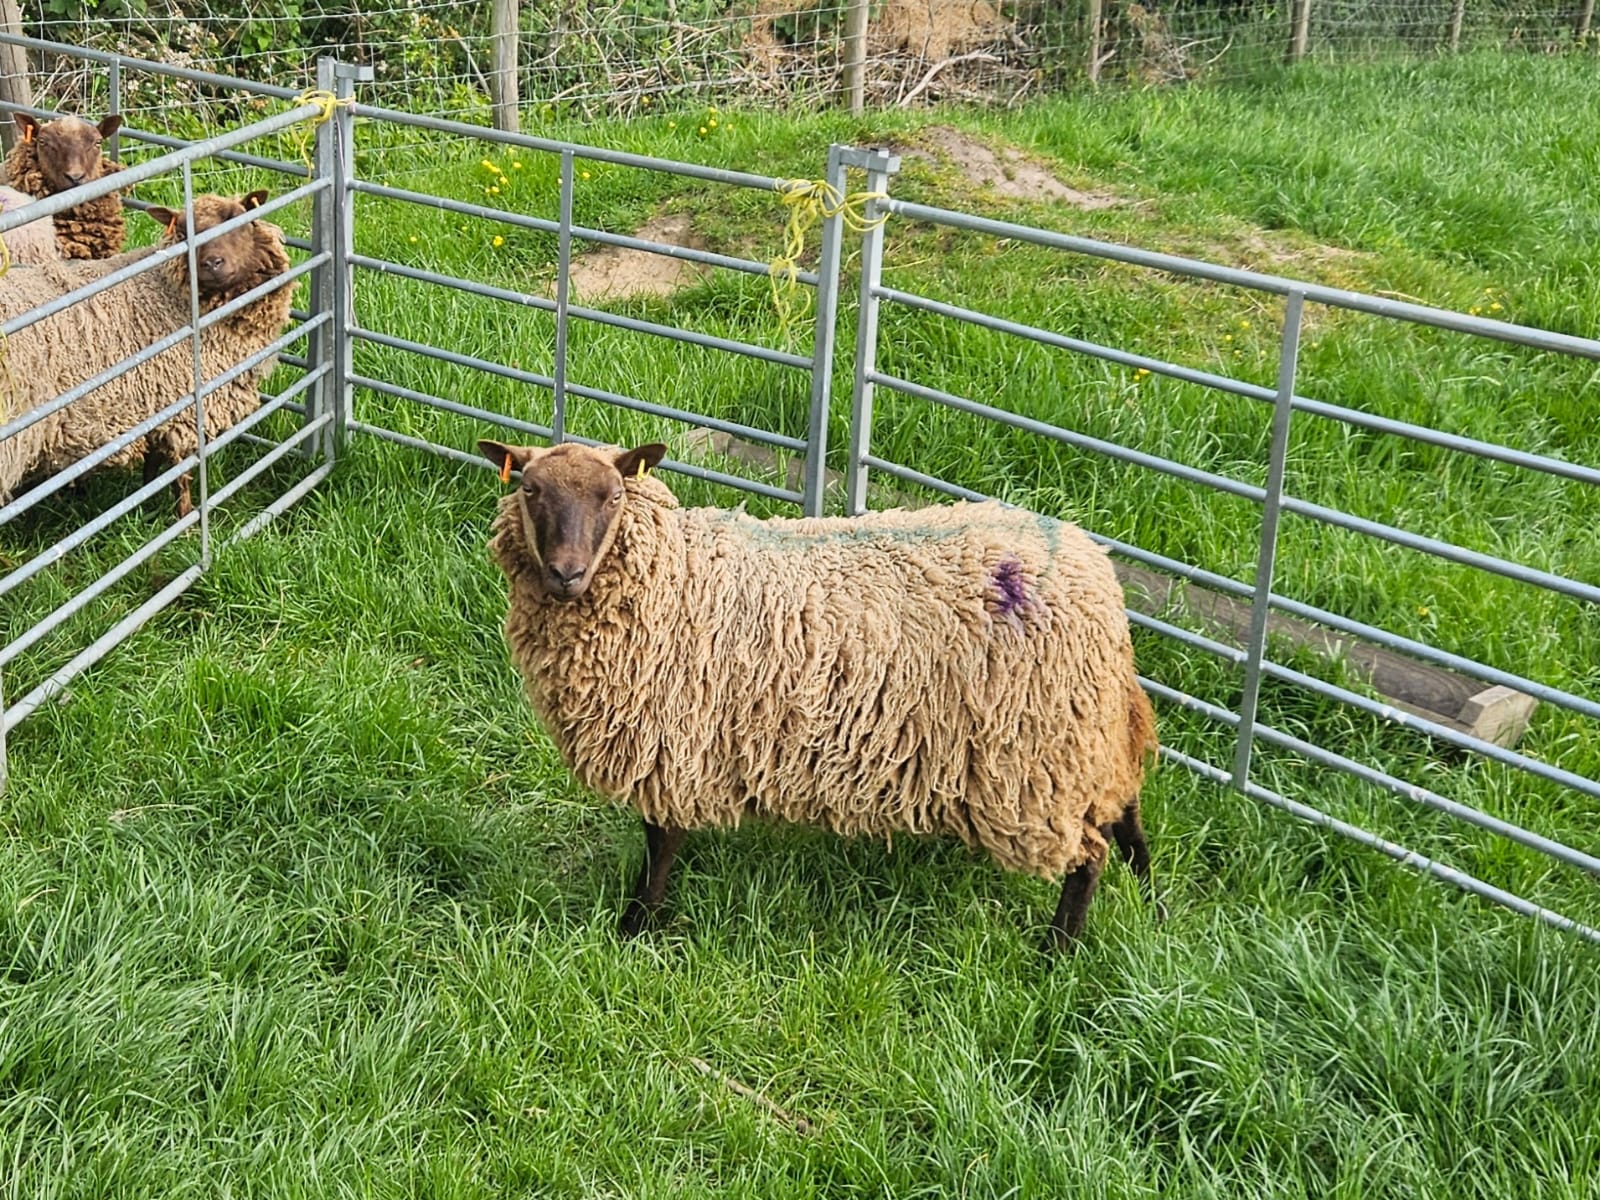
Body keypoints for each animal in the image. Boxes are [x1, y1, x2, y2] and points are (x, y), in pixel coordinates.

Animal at [0, 190, 297, 517]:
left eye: (237, 218)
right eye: (183, 231)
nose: (211, 263)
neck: (168, 293)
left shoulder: (157, 405)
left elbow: (155, 462)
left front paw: (147, 496)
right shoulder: (184, 405)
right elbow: (181, 474)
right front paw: (186, 518)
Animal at [476, 438, 1160, 951]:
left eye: (614, 496)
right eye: (530, 490)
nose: (566, 574)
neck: (675, 579)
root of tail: (1097, 574)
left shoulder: (674, 739)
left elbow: (660, 842)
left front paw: (636, 926)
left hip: (1037, 757)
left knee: (1087, 854)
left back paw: (1057, 952)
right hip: (1081, 735)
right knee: (1122, 798)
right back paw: (1146, 879)